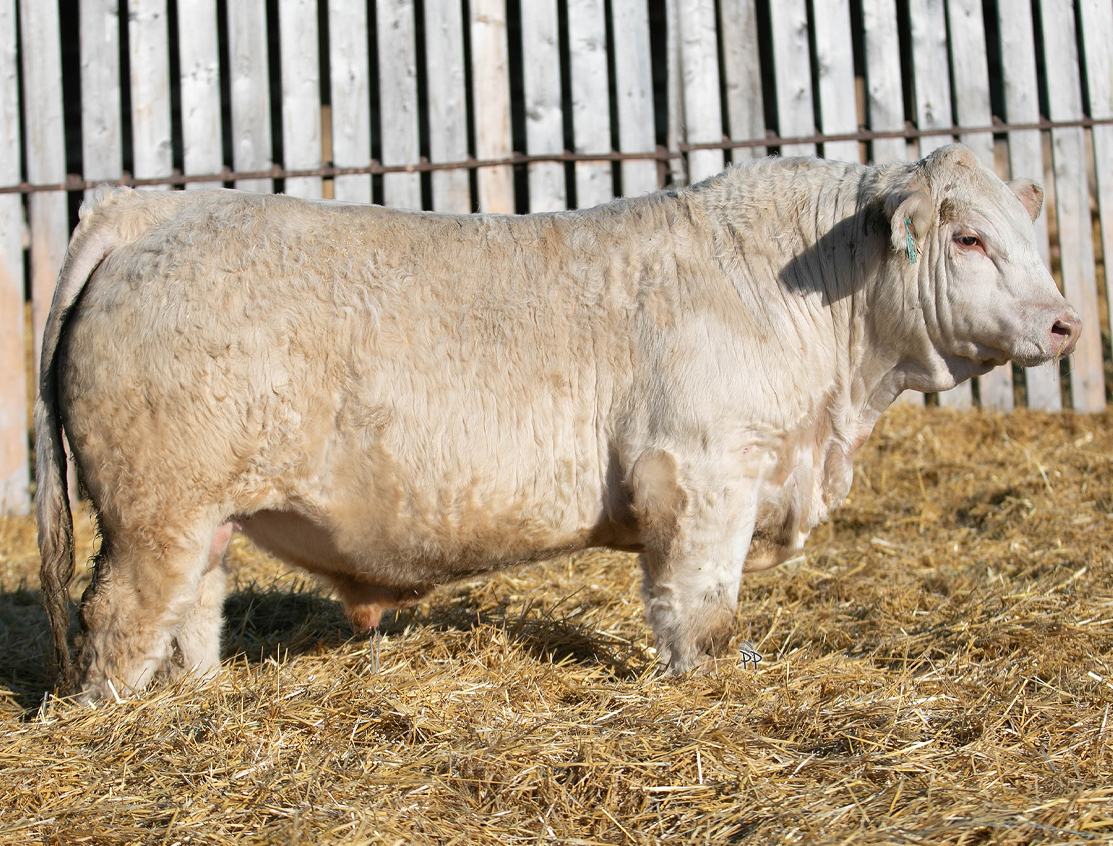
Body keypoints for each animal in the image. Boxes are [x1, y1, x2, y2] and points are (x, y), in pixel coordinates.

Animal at [36, 145, 1080, 703]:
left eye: (1026, 234)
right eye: (967, 237)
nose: (1065, 321)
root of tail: (148, 212)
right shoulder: (704, 473)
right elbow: (699, 607)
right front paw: (701, 686)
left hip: (199, 517)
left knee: (191, 614)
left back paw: (201, 697)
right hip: (153, 513)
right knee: (121, 623)